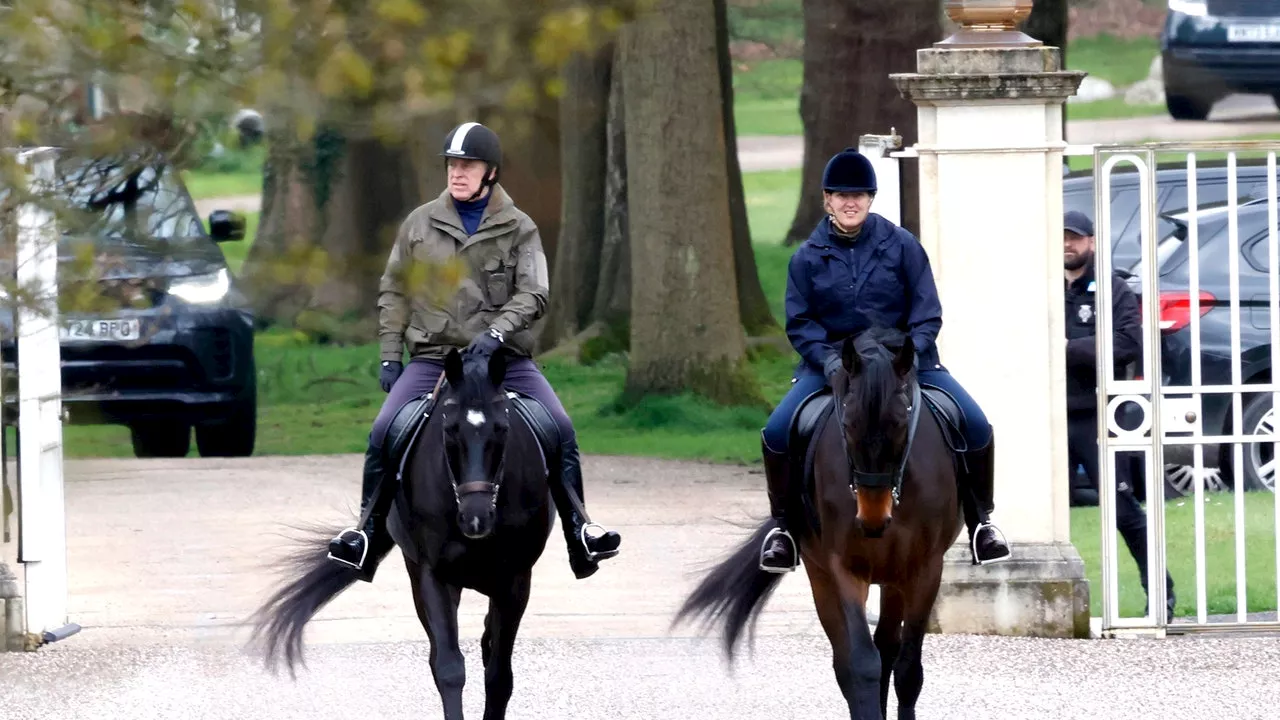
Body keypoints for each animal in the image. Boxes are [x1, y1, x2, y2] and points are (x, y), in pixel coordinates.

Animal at [244, 345, 555, 712]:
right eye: (450, 429)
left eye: (503, 428)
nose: (476, 518)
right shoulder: (433, 574)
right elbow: (449, 668)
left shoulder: (515, 578)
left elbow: (498, 675)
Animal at [675, 326, 962, 717]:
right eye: (848, 424)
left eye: (902, 423)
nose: (872, 519)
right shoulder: (845, 567)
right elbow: (861, 663)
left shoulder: (926, 568)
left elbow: (907, 670)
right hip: (821, 574)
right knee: (847, 662)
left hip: (894, 576)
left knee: (887, 647)